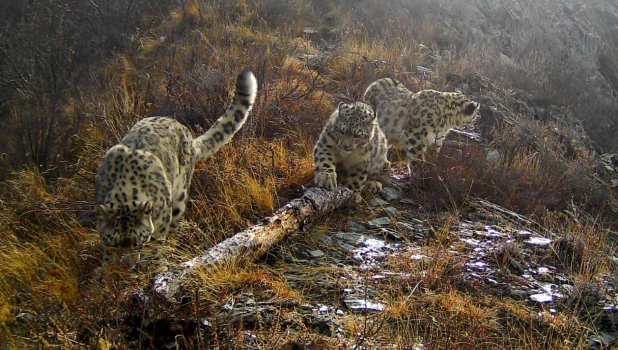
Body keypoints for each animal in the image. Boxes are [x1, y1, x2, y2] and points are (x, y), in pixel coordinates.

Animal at [93, 70, 255, 268]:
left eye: (138, 242)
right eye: (114, 243)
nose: (128, 266)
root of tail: (186, 132)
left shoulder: (159, 226)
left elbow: (154, 250)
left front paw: (153, 269)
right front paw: (108, 269)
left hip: (179, 197)